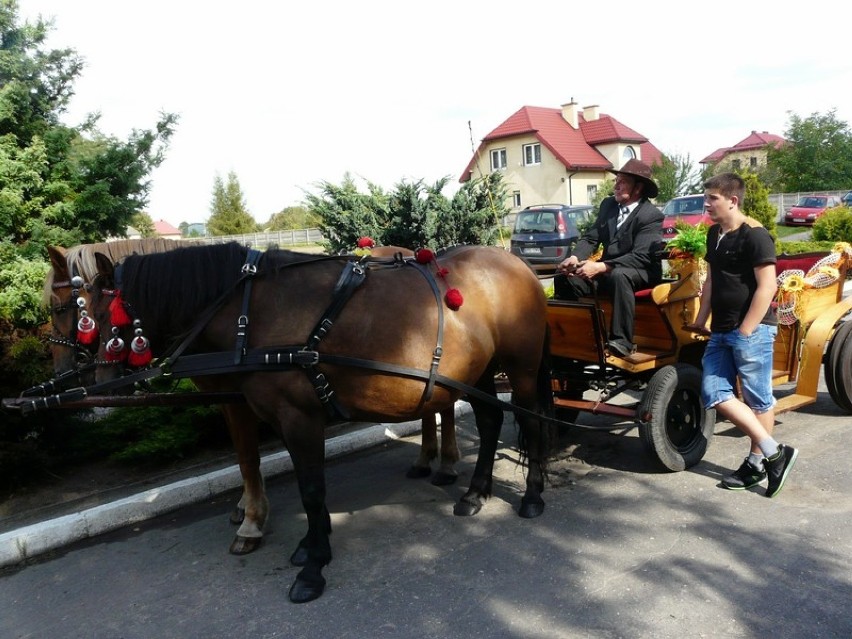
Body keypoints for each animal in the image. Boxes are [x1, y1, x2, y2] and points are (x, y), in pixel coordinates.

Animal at [86, 241, 552, 604]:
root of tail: (517, 263)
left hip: (522, 369)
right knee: (490, 421)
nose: (98, 386)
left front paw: (312, 567)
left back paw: (531, 496)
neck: (256, 312)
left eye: (105, 318)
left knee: (531, 424)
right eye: (84, 313)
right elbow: (293, 482)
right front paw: (307, 544)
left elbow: (311, 491)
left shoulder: (299, 417)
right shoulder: (279, 417)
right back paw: (475, 492)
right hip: (480, 370)